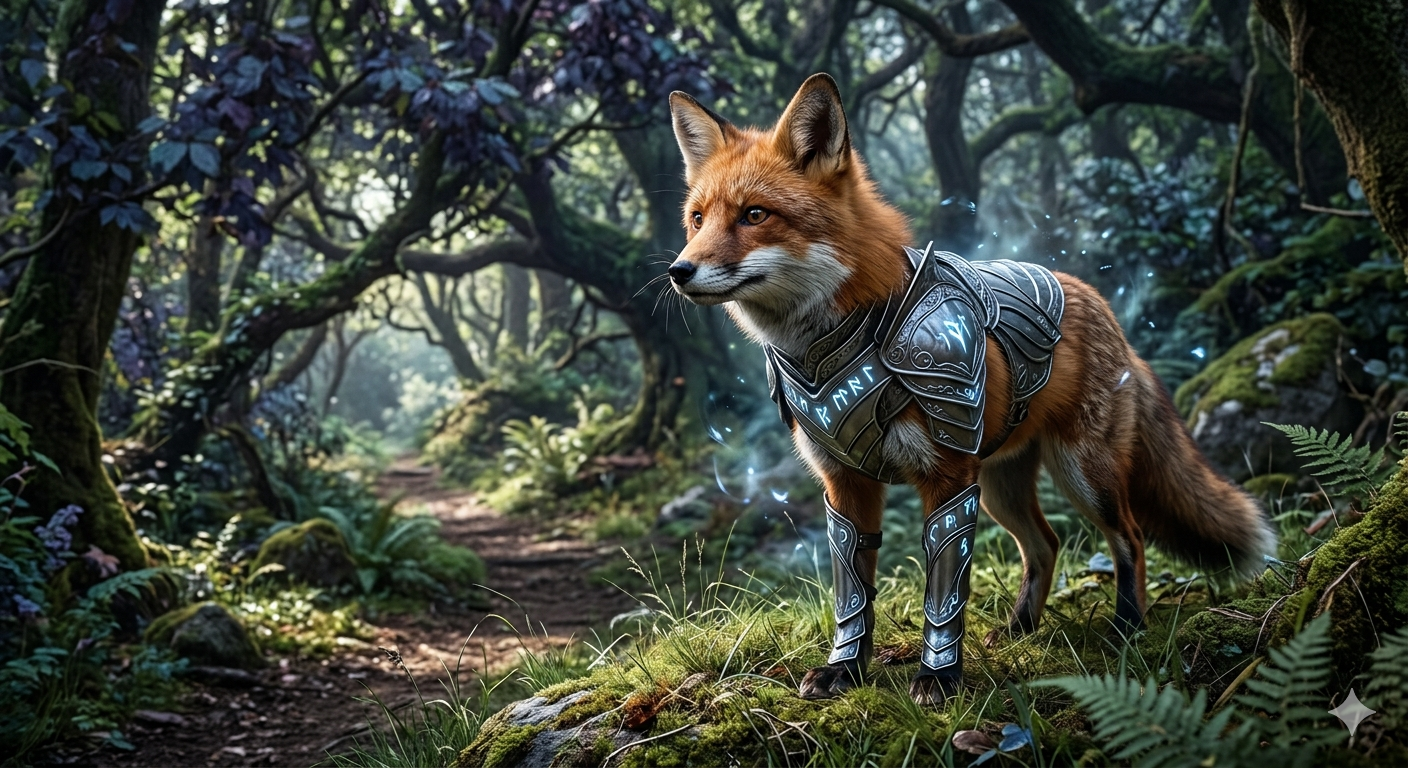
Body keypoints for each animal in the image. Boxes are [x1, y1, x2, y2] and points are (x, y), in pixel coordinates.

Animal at [664, 73, 1277, 704]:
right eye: (697, 219)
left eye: (755, 215)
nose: (678, 272)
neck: (836, 339)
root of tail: (1100, 302)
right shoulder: (845, 482)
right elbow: (851, 593)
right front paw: (844, 670)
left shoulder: (948, 475)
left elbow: (943, 590)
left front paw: (939, 677)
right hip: (1002, 487)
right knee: (1046, 544)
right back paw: (1020, 629)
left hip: (1083, 477)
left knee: (1129, 537)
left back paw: (1127, 627)